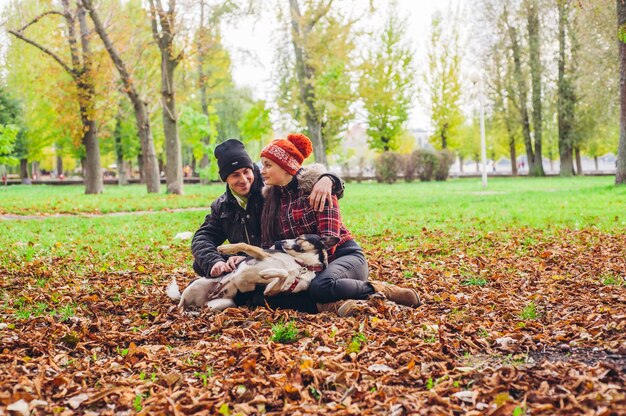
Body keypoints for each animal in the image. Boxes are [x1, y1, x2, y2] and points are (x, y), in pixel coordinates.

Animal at [166, 234, 336, 312]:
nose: (281, 241)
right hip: (197, 284)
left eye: (300, 238)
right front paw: (226, 248)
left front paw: (267, 273)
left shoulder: (272, 291)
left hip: (223, 304)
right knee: (179, 304)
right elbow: (246, 245)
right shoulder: (263, 254)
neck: (302, 265)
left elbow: (283, 274)